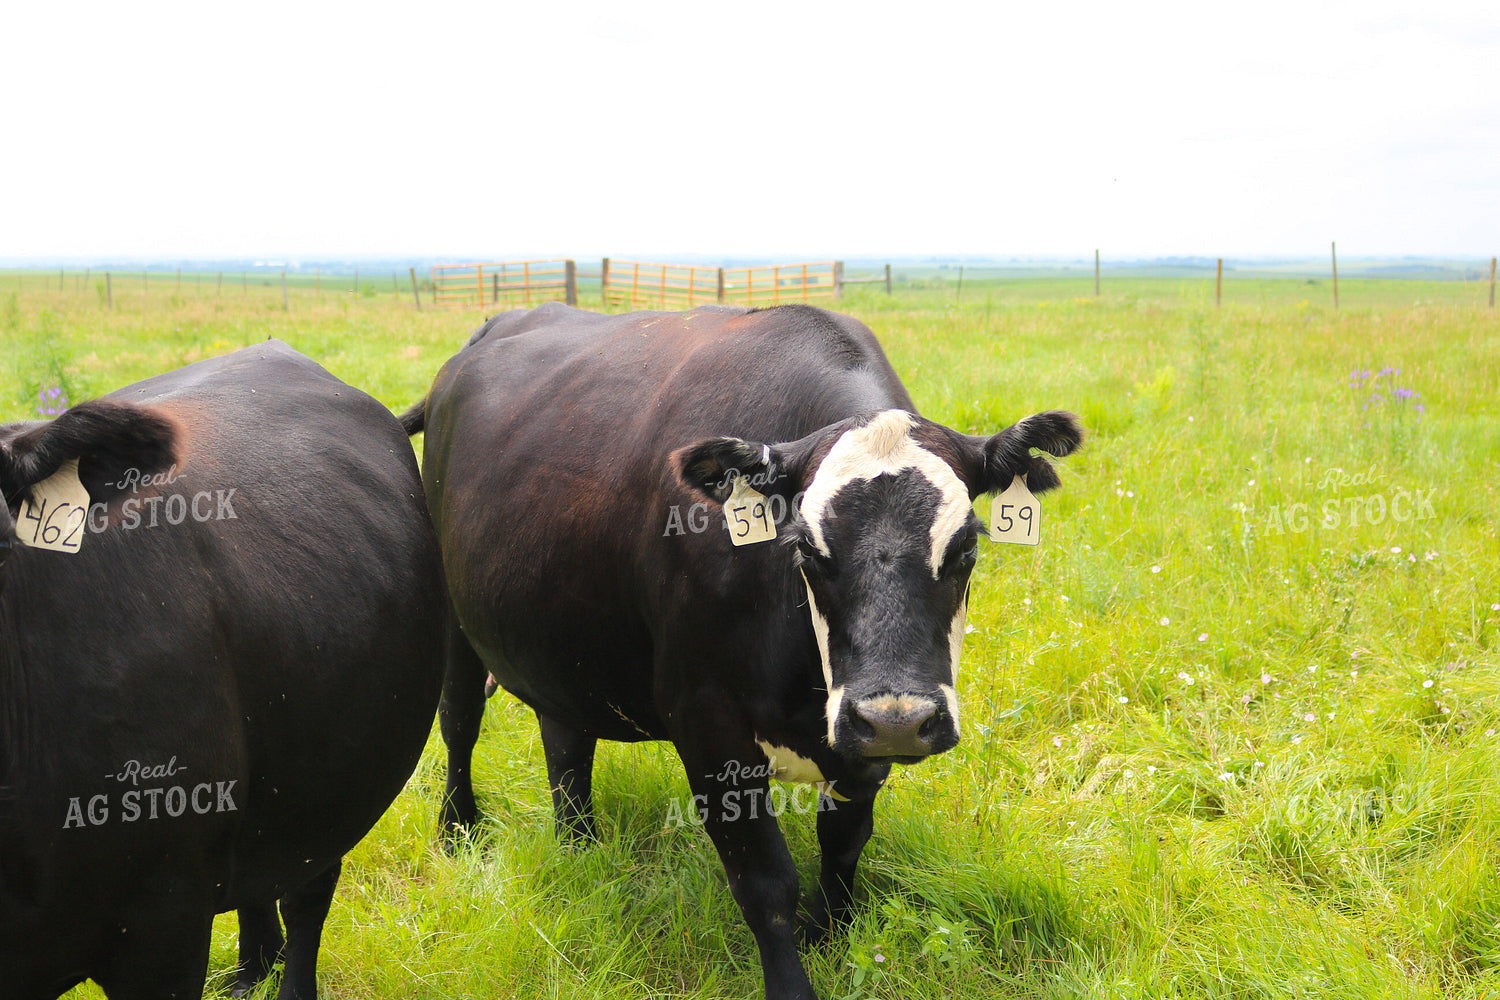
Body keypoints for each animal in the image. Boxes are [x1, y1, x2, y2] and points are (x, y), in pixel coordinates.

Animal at [403, 302, 1081, 1000]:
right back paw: (459, 829)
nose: (897, 718)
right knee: (459, 723)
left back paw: (580, 844)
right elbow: (765, 883)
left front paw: (830, 934)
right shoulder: (708, 726)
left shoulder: (858, 744)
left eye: (968, 545)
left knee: (566, 740)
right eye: (805, 548)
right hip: (455, 620)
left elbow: (844, 842)